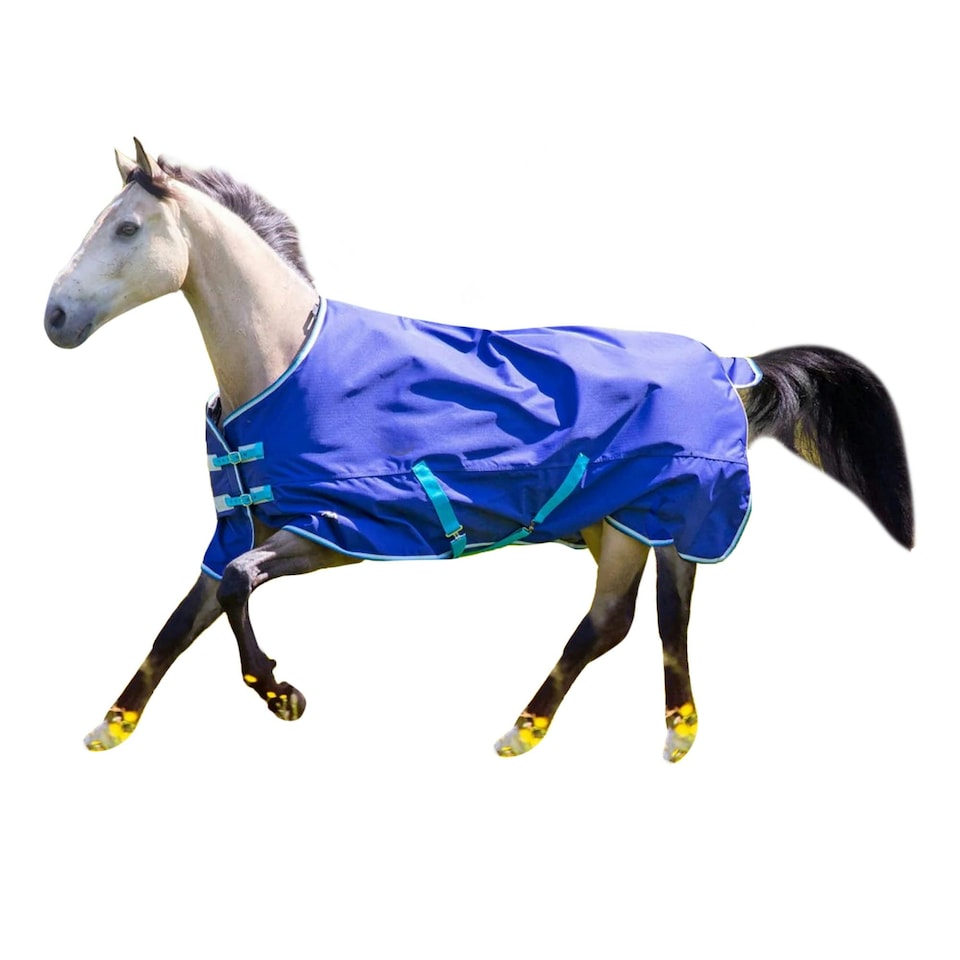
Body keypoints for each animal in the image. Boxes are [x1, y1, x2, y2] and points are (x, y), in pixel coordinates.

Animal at [44, 140, 913, 761]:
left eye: (126, 227)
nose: (54, 316)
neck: (286, 361)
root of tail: (730, 366)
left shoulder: (337, 531)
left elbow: (233, 589)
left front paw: (281, 694)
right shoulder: (245, 525)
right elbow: (179, 621)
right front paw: (112, 725)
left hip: (643, 523)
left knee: (617, 623)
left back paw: (525, 731)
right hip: (648, 522)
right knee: (656, 618)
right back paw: (665, 729)